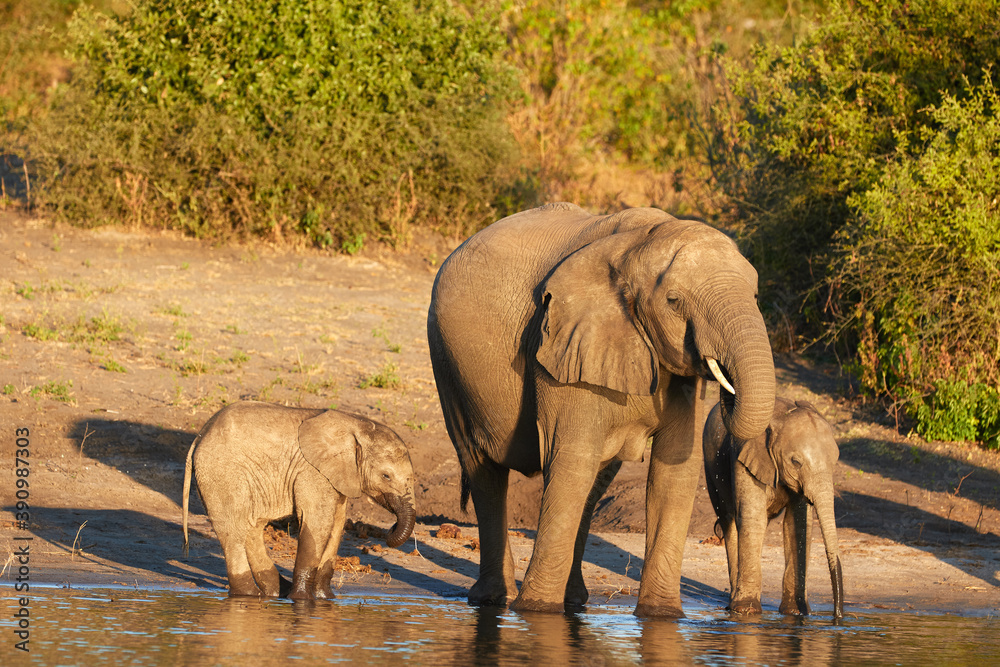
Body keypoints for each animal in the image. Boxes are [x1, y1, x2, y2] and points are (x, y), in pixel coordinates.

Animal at [181, 401, 416, 599]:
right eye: (386, 476)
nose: (391, 527)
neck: (356, 425)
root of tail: (200, 435)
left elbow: (336, 525)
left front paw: (325, 599)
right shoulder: (312, 472)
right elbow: (317, 524)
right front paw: (302, 600)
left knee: (252, 527)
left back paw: (276, 592)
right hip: (222, 473)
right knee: (233, 530)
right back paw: (249, 595)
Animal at [427, 203, 775, 616]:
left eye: (755, 294)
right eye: (674, 301)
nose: (724, 383)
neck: (638, 248)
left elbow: (674, 471)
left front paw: (662, 616)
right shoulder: (560, 342)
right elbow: (571, 459)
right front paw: (536, 612)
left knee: (595, 483)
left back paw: (574, 602)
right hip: (446, 359)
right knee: (482, 468)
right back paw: (495, 600)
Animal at [703, 396, 844, 619]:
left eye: (835, 460)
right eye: (796, 462)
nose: (837, 616)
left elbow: (797, 525)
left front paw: (796, 612)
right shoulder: (744, 460)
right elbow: (754, 519)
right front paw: (747, 611)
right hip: (710, 466)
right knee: (729, 521)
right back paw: (734, 604)